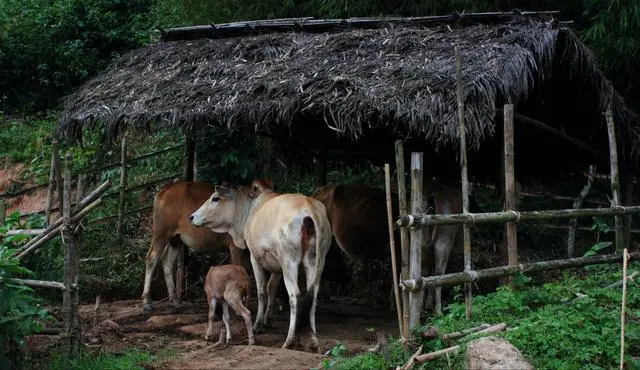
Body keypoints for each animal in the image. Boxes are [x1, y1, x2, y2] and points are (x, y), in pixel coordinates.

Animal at [141, 181, 251, 312]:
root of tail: (164, 190)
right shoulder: (236, 247)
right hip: (161, 234)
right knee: (151, 259)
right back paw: (146, 302)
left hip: (175, 239)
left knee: (167, 263)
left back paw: (175, 300)